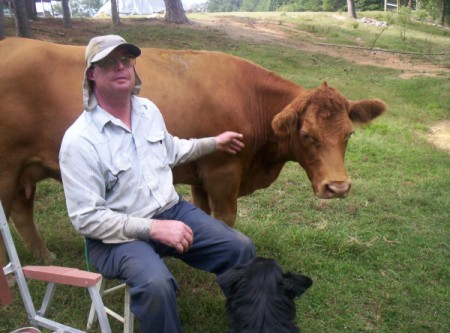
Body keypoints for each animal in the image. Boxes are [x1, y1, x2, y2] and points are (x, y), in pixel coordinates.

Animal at [0, 37, 386, 270]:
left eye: (349, 134)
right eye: (306, 135)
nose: (338, 187)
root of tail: (13, 42)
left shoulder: (202, 175)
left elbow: (205, 216)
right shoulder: (223, 173)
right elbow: (225, 220)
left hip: (23, 170)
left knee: (22, 211)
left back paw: (45, 258)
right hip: (6, 168)